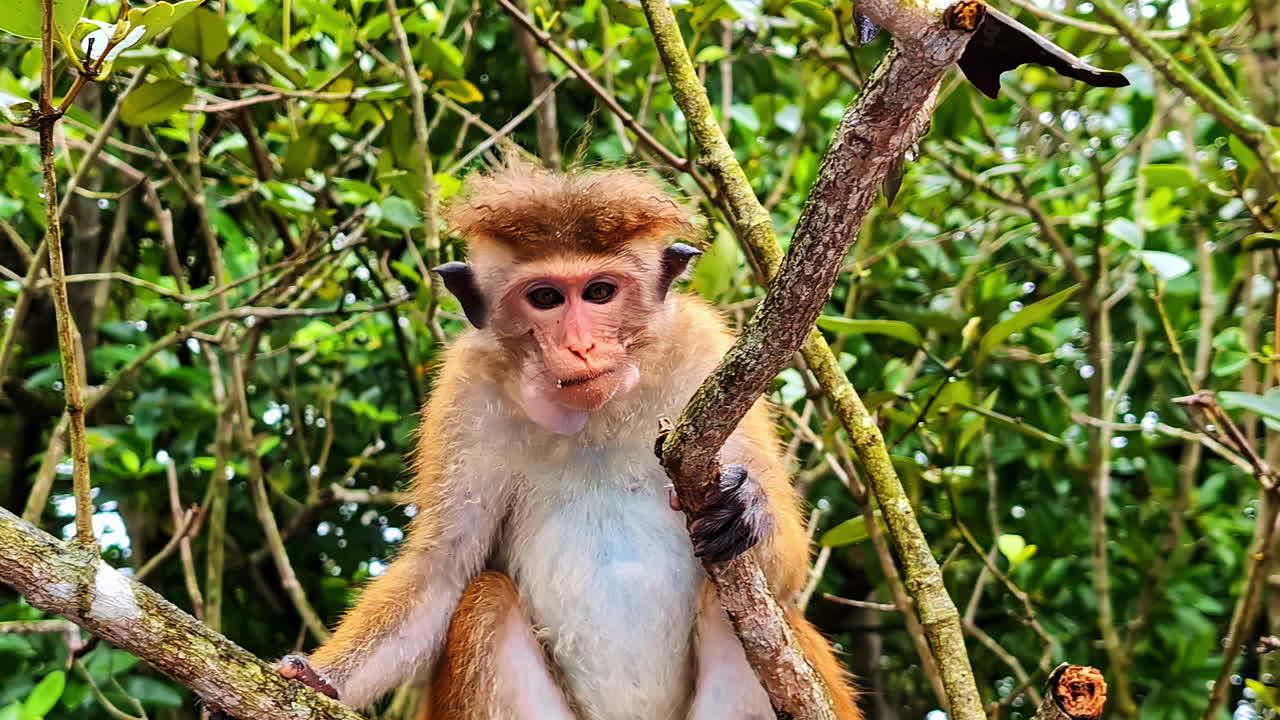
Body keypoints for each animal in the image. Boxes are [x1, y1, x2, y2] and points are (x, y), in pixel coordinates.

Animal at [217, 158, 861, 720]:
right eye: (546, 297)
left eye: (599, 293)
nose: (580, 345)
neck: (594, 415)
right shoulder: (467, 392)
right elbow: (441, 572)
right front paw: (315, 679)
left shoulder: (703, 352)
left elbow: (787, 578)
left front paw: (744, 505)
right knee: (483, 601)